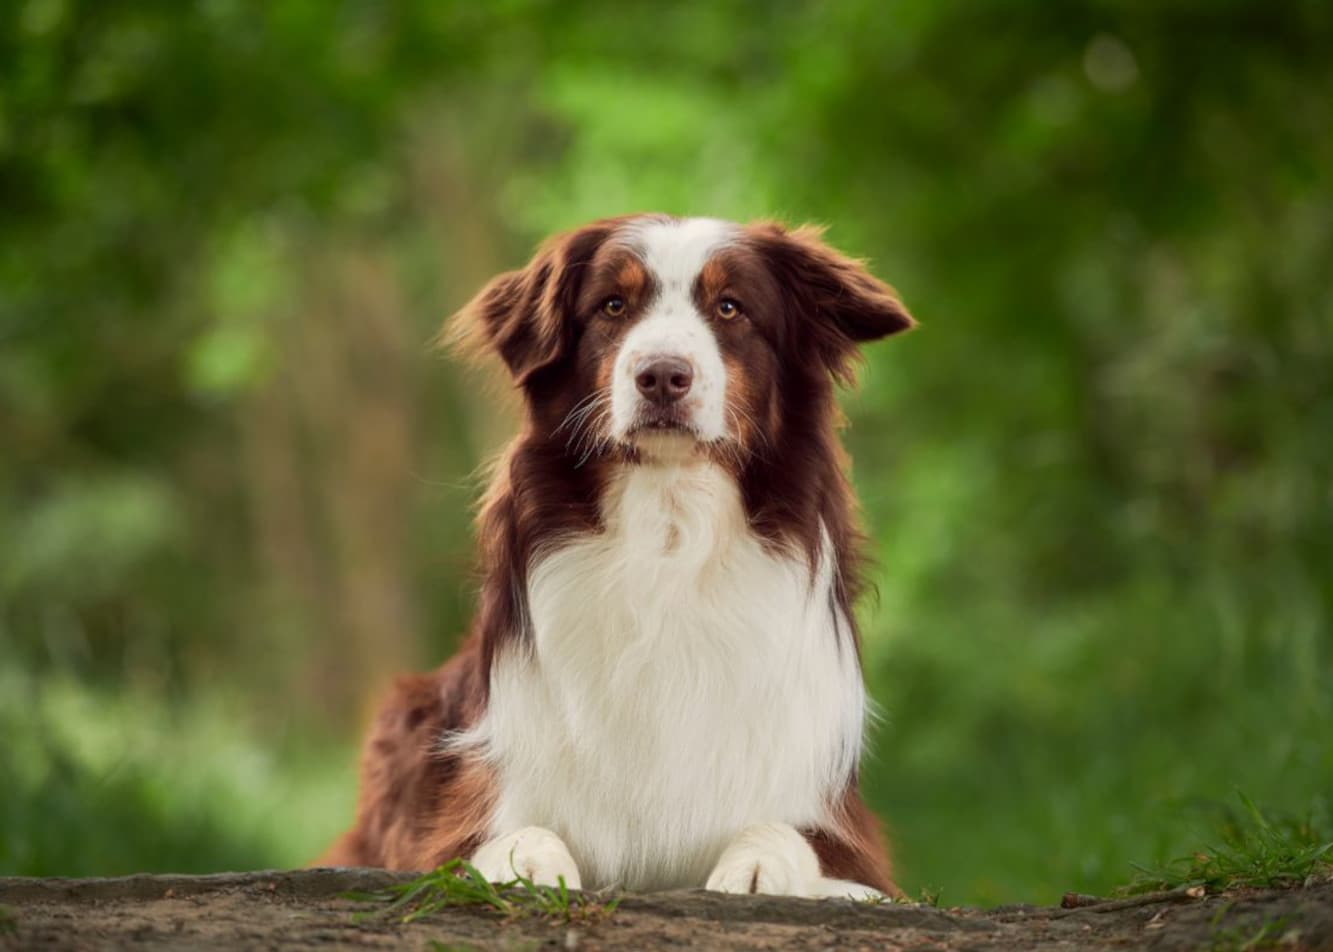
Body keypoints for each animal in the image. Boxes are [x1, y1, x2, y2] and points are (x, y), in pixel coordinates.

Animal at [317, 213, 917, 896]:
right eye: (612, 306)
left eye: (730, 307)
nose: (661, 374)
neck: (668, 527)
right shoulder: (466, 813)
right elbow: (510, 835)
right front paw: (529, 863)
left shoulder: (847, 841)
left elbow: (787, 835)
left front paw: (759, 866)